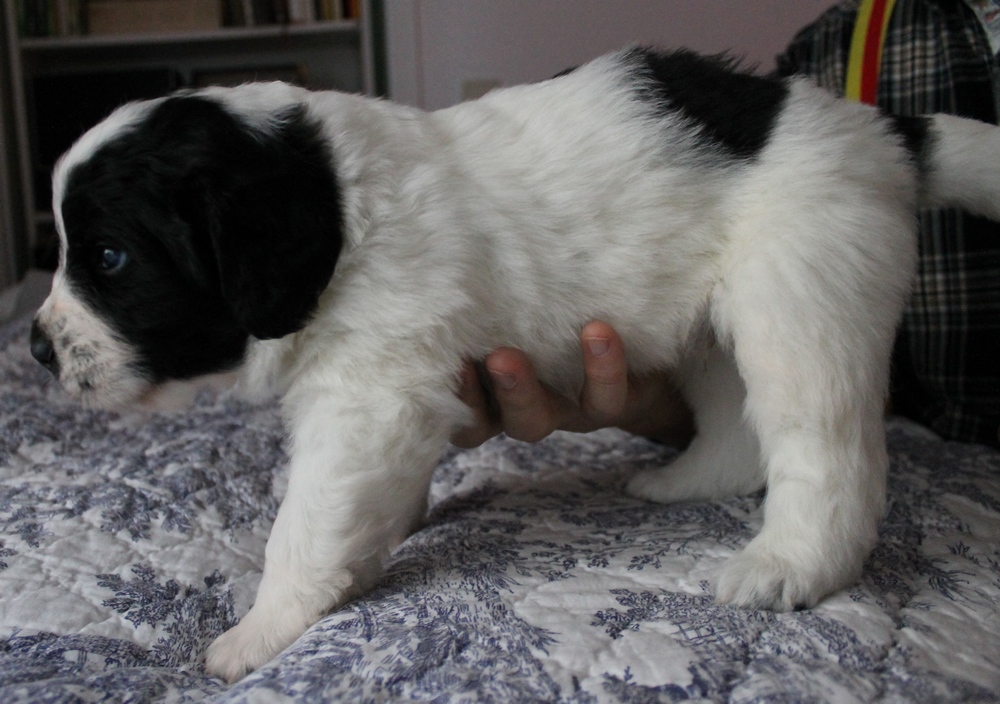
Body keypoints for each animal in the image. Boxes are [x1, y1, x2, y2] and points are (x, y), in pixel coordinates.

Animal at [29, 47, 1000, 681]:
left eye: (109, 258)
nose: (35, 347)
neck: (335, 202)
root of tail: (879, 130)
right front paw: (357, 567)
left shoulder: (367, 400)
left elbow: (302, 523)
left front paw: (263, 630)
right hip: (714, 321)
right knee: (737, 419)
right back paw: (688, 481)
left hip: (798, 296)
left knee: (824, 445)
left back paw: (792, 564)